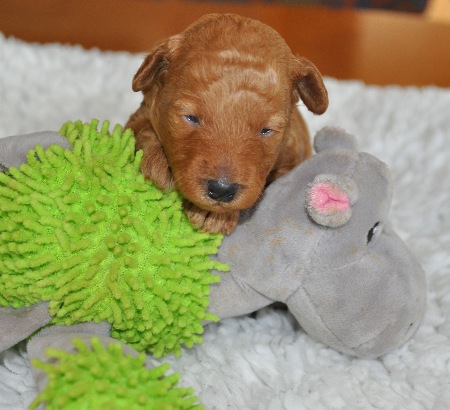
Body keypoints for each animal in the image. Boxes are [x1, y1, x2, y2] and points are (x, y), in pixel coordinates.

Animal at [126, 13, 328, 234]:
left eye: (266, 130)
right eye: (191, 118)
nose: (221, 190)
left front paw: (213, 214)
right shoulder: (141, 113)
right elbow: (143, 130)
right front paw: (159, 162)